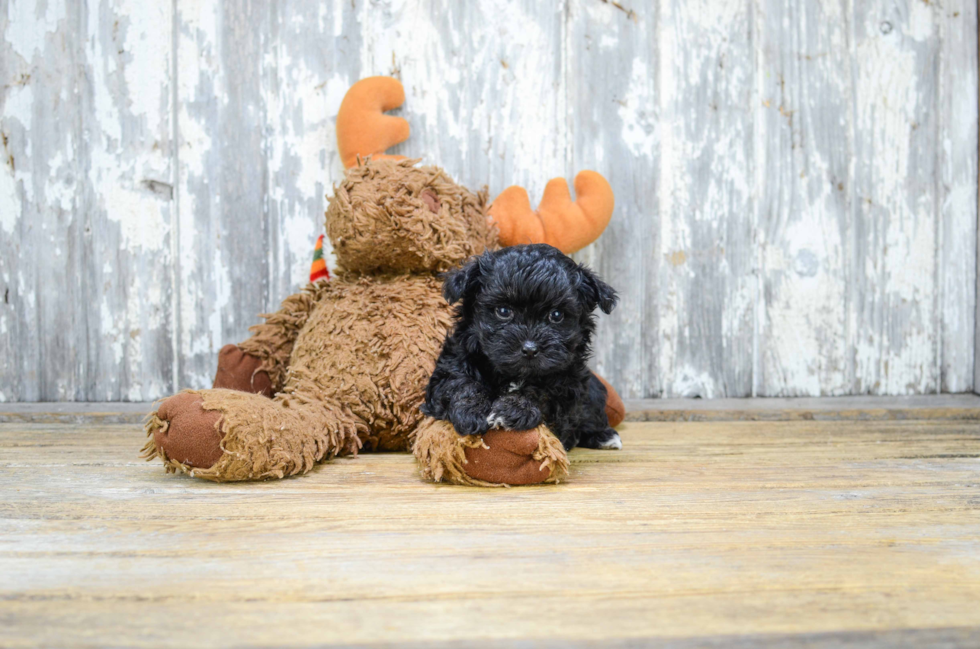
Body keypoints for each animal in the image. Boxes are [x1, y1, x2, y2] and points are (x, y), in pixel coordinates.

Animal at [422, 243, 620, 450]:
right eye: (503, 311)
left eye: (556, 315)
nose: (530, 349)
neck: (515, 375)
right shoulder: (452, 363)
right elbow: (459, 382)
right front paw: (470, 409)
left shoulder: (569, 386)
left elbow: (543, 393)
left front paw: (514, 408)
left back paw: (604, 436)